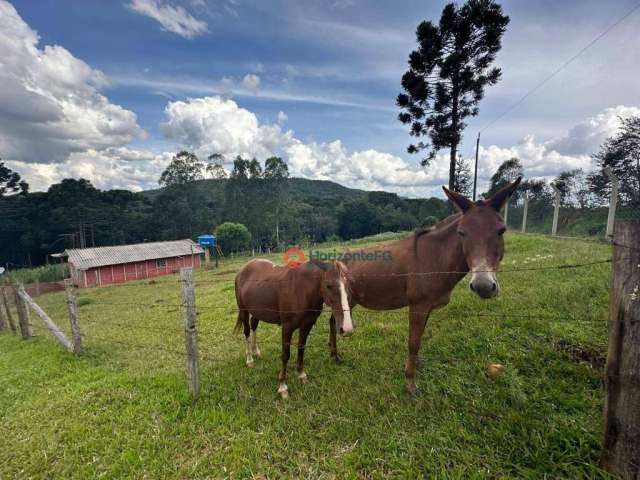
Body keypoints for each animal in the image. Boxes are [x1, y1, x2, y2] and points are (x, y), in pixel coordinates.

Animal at [235, 258, 356, 398]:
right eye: (328, 286)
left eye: (348, 285)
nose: (347, 329)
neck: (302, 290)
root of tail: (243, 269)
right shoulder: (287, 327)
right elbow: (285, 355)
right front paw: (282, 387)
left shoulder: (306, 325)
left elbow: (301, 349)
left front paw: (302, 375)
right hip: (244, 310)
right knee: (247, 332)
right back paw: (249, 359)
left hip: (257, 311)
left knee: (254, 326)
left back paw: (256, 351)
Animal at [330, 179, 520, 394]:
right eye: (462, 233)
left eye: (501, 230)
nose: (483, 286)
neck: (436, 257)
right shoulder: (418, 306)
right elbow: (413, 343)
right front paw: (410, 383)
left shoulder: (428, 306)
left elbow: (419, 339)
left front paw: (415, 365)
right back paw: (335, 355)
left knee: (333, 320)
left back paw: (334, 354)